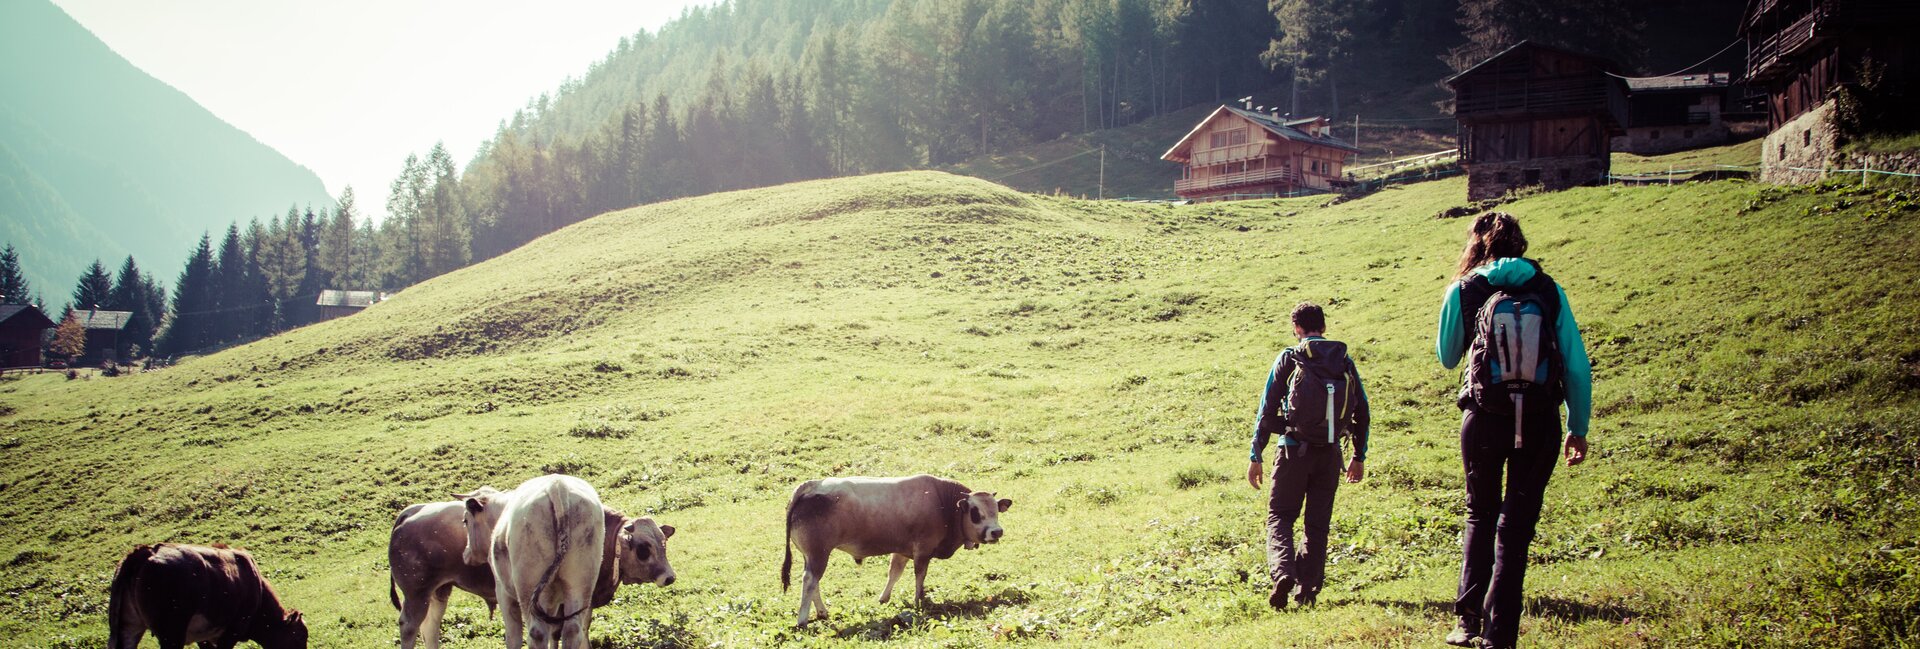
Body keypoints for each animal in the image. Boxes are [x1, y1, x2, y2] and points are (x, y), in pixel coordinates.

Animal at [108, 541, 307, 649]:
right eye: (299, 637)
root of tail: (148, 551)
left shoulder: (204, 637)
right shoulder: (232, 631)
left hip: (128, 627)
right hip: (171, 633)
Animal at [387, 499, 675, 645]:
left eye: (663, 543)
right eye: (643, 548)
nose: (669, 576)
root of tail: (410, 512)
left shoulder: (580, 602)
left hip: (438, 592)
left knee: (430, 628)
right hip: (416, 594)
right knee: (409, 627)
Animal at [455, 472, 599, 649]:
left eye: (465, 521)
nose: (466, 554)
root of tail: (557, 484)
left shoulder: (503, 593)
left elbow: (513, 637)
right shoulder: (551, 601)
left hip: (527, 587)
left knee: (537, 633)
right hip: (580, 584)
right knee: (572, 630)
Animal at [783, 474, 1021, 625]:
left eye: (996, 510)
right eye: (975, 512)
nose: (997, 532)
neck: (943, 502)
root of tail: (812, 486)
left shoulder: (902, 551)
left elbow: (894, 574)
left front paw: (883, 598)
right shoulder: (922, 551)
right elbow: (919, 577)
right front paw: (918, 601)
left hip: (812, 556)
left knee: (813, 582)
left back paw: (822, 612)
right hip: (818, 554)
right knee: (810, 581)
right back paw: (802, 620)